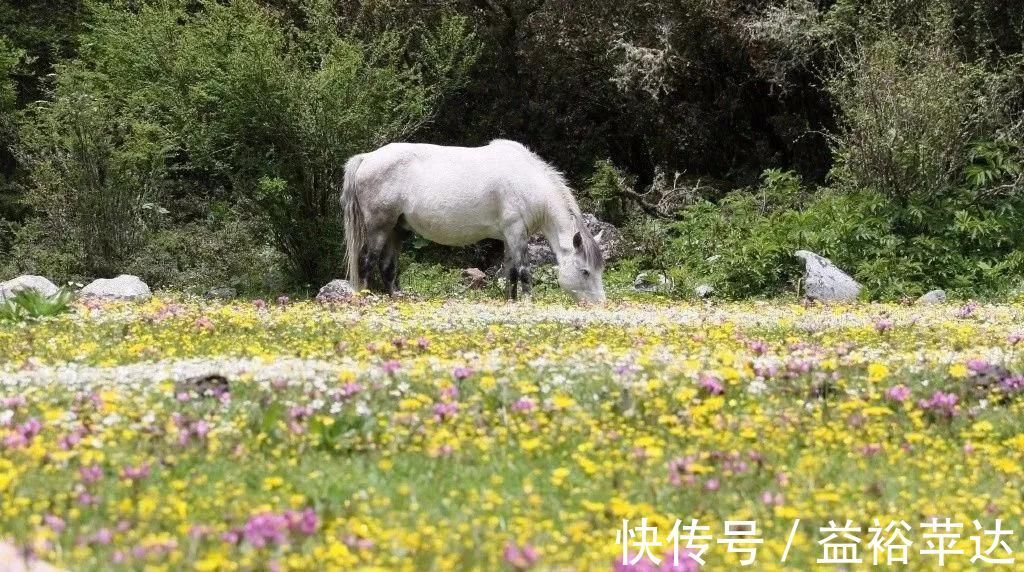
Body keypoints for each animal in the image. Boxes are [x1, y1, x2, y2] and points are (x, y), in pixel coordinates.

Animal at [344, 140, 602, 302]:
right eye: (585, 271)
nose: (600, 304)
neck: (528, 182)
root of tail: (367, 158)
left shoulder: (509, 237)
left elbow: (510, 273)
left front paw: (512, 302)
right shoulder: (517, 234)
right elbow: (524, 272)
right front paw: (529, 303)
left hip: (395, 230)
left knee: (387, 267)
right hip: (379, 228)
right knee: (367, 262)